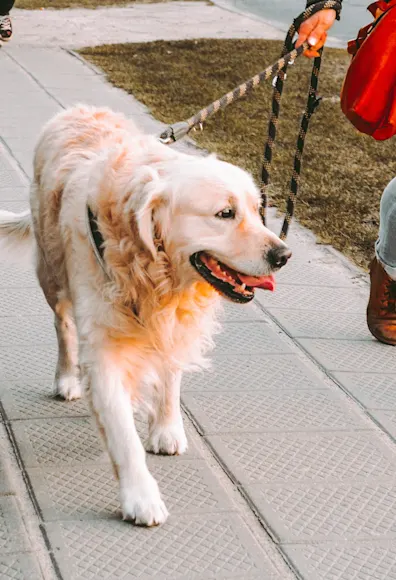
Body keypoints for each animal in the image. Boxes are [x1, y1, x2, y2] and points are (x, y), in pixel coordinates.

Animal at [0, 105, 290, 524]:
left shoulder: (173, 324)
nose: (284, 255)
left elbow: (170, 376)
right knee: (63, 325)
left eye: (256, 210)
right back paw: (67, 378)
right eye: (225, 213)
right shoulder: (103, 348)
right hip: (52, 273)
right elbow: (123, 435)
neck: (153, 272)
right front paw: (141, 497)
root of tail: (77, 109)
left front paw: (166, 428)